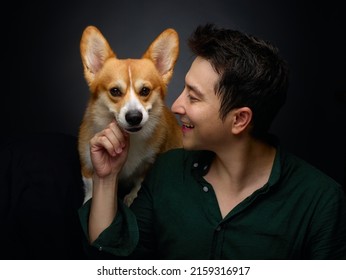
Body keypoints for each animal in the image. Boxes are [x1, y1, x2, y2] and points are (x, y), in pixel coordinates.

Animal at [77, 26, 181, 205]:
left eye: (145, 90)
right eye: (115, 91)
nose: (134, 117)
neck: (131, 139)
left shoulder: (148, 163)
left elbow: (139, 182)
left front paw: (132, 196)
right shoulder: (87, 165)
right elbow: (91, 189)